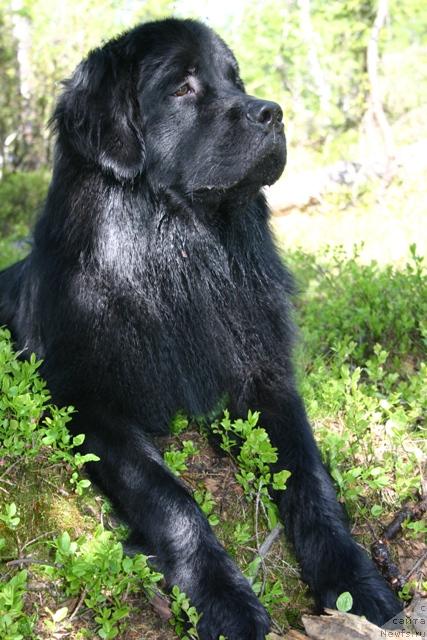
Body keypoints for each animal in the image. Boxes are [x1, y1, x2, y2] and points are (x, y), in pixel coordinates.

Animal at [0, 17, 402, 636]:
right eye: (183, 88)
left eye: (235, 80)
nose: (273, 112)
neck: (185, 260)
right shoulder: (84, 401)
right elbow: (170, 498)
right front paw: (225, 601)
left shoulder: (265, 379)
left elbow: (311, 480)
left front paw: (355, 583)